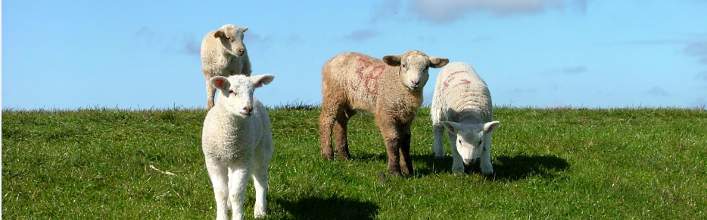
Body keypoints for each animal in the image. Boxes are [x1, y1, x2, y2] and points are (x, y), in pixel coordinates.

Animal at [203, 74, 276, 220]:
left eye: (252, 91)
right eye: (230, 91)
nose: (248, 108)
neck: (229, 139)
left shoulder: (242, 162)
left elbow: (236, 193)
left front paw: (237, 216)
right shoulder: (214, 161)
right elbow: (221, 193)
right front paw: (222, 216)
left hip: (261, 148)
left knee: (260, 179)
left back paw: (260, 210)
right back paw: (229, 205)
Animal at [320, 50, 448, 176]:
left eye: (426, 67)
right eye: (403, 65)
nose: (415, 82)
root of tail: (333, 59)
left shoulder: (406, 118)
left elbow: (406, 141)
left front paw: (408, 170)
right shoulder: (386, 112)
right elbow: (393, 139)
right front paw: (394, 171)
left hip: (348, 101)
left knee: (341, 122)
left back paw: (344, 156)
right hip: (333, 94)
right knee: (326, 120)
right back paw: (327, 154)